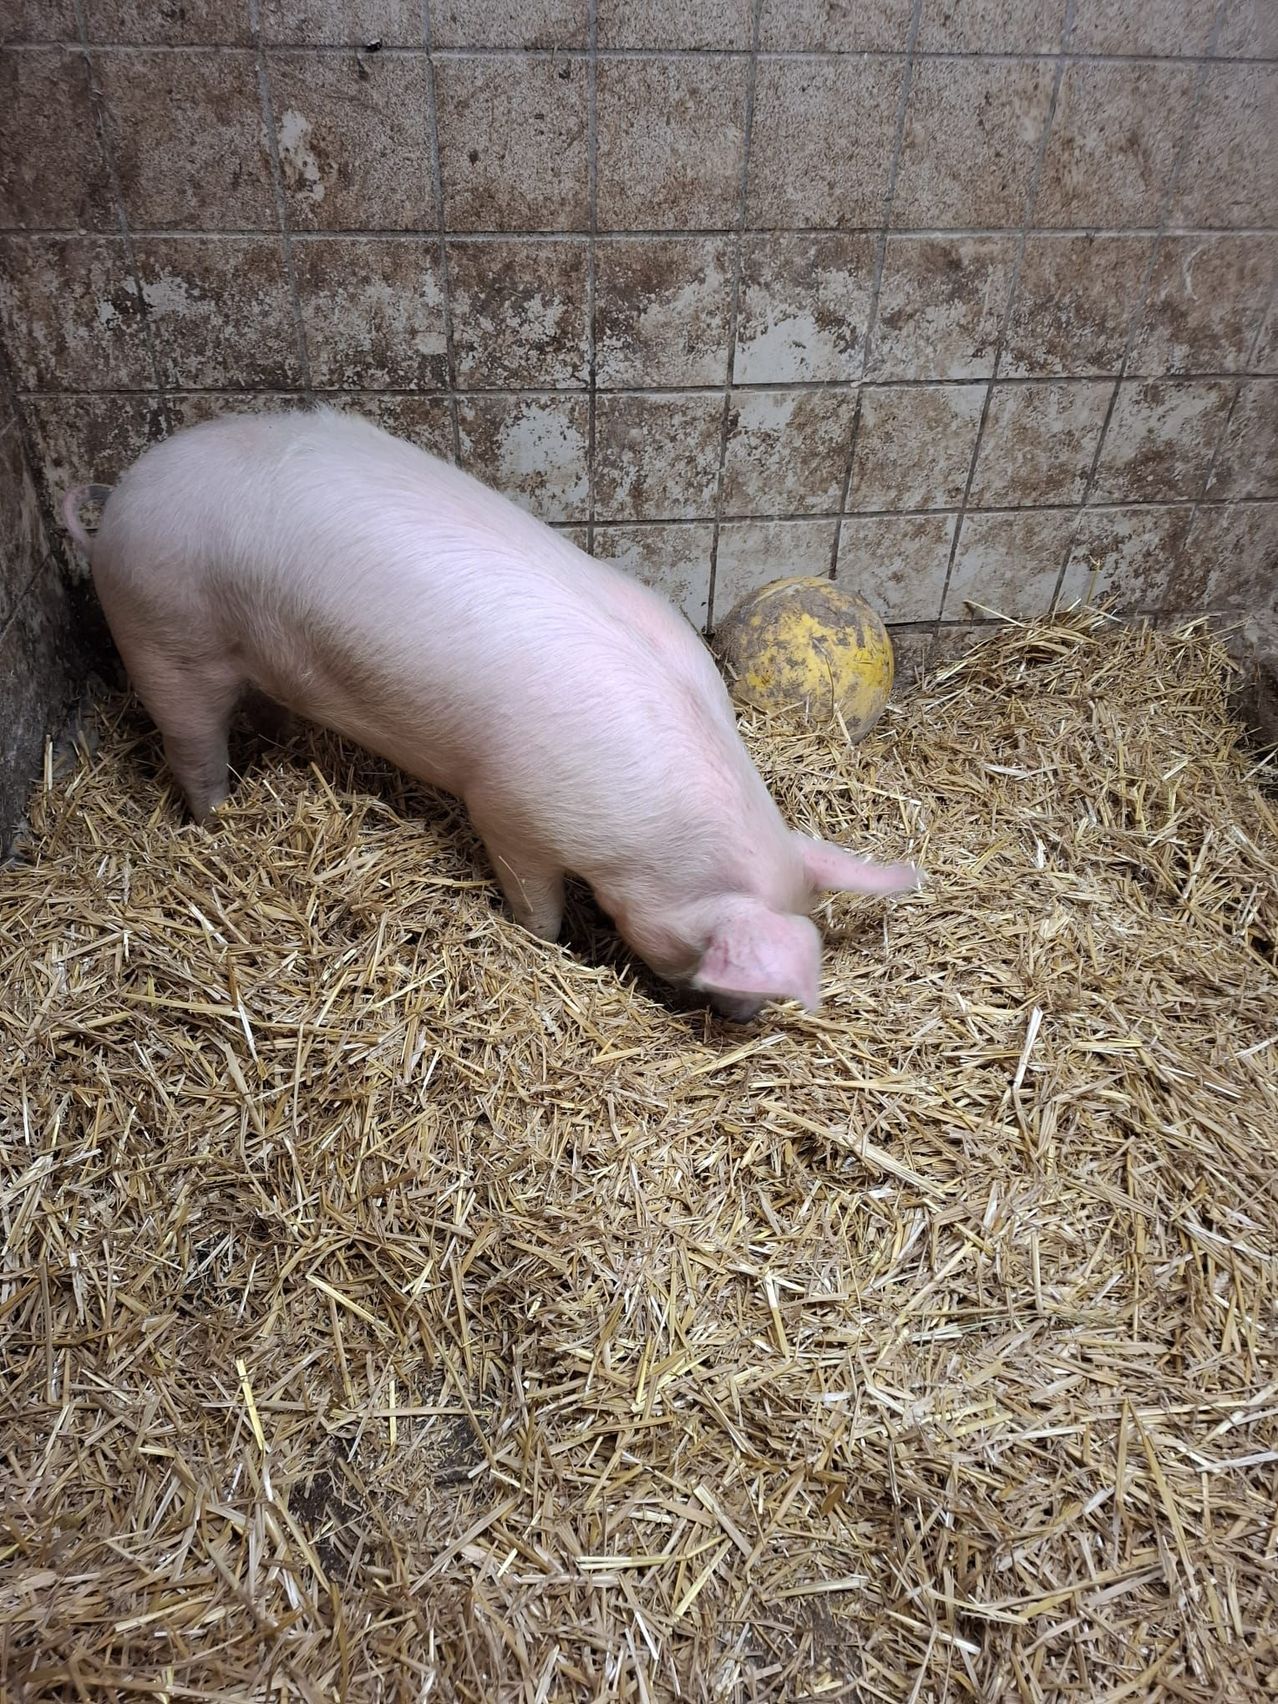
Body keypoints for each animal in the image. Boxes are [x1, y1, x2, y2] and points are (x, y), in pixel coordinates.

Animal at [63, 408, 918, 1020]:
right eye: (711, 953)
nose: (746, 1017)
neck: (654, 837)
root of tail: (122, 497)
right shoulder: (509, 809)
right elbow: (535, 904)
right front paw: (550, 945)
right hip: (164, 637)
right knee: (192, 746)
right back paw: (215, 817)